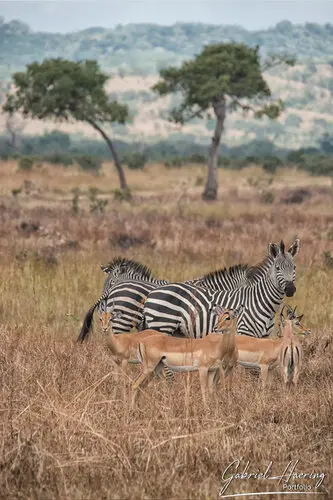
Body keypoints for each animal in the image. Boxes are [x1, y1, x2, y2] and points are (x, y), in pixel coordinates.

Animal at [141, 239, 300, 340]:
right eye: (277, 268)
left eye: (294, 267)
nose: (290, 289)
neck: (262, 303)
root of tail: (152, 292)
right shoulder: (244, 332)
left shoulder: (263, 337)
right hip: (162, 325)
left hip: (174, 330)